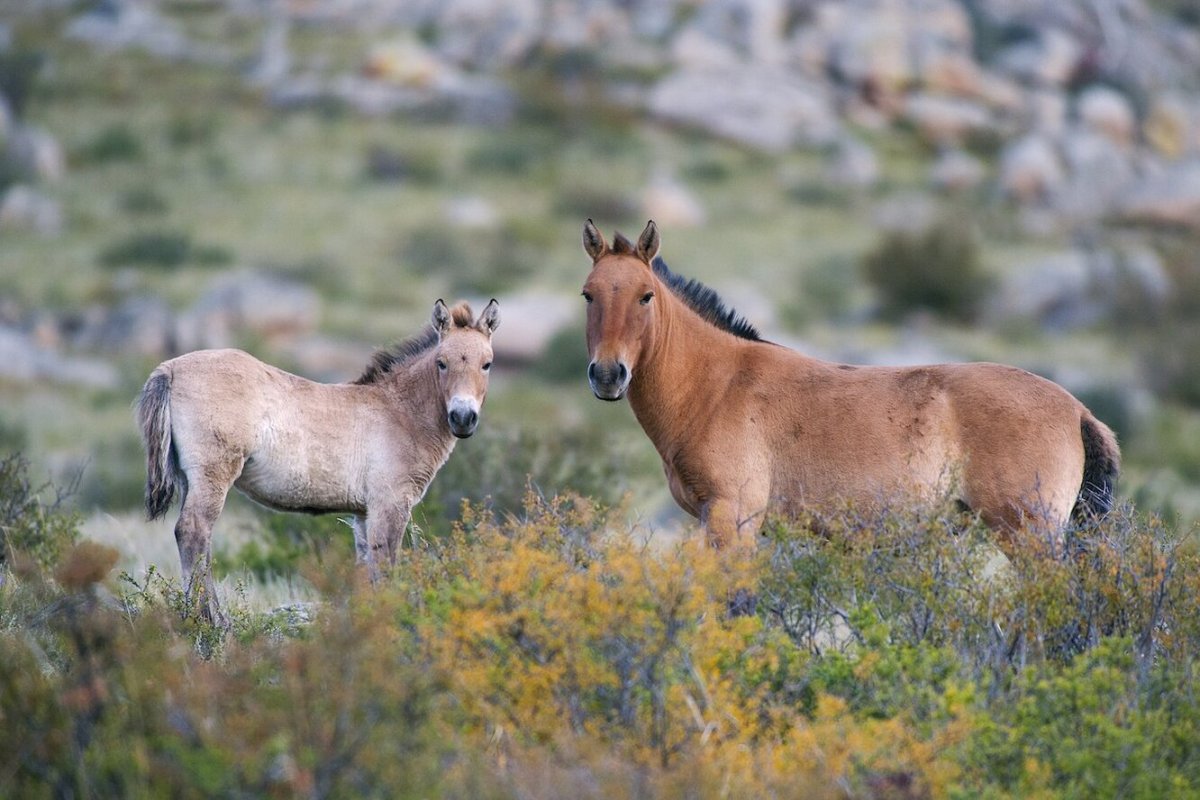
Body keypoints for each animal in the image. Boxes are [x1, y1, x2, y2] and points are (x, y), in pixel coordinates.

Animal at [136, 298, 499, 623]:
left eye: (487, 363)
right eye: (441, 362)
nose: (463, 418)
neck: (400, 411)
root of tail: (169, 369)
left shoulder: (363, 513)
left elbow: (366, 567)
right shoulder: (391, 504)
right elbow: (386, 564)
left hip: (189, 479)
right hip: (213, 475)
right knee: (193, 531)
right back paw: (210, 619)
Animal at [580, 219, 1119, 554]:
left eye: (646, 296)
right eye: (588, 294)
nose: (608, 375)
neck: (716, 386)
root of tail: (1078, 412)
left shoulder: (733, 519)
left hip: (1028, 535)